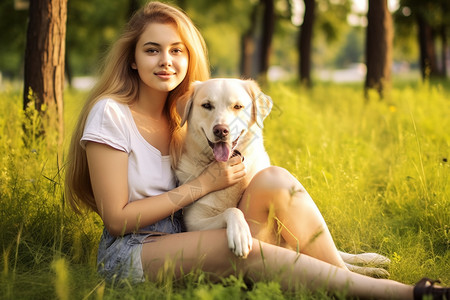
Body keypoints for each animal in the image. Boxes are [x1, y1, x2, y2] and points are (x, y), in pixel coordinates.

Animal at [176, 78, 390, 278]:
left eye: (237, 106)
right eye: (207, 105)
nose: (221, 130)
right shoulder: (193, 223)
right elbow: (232, 210)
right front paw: (240, 233)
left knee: (340, 256)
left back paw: (373, 262)